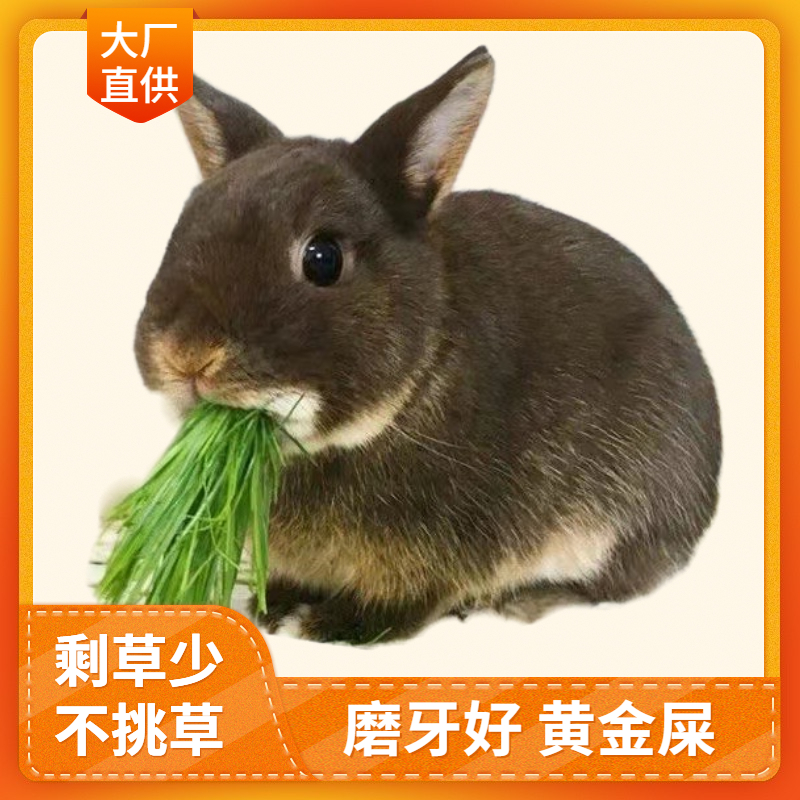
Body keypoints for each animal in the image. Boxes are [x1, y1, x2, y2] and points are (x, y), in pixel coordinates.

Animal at [134, 46, 722, 645]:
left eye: (322, 258)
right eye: (185, 224)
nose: (185, 354)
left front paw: (328, 625)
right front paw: (275, 606)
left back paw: (530, 600)